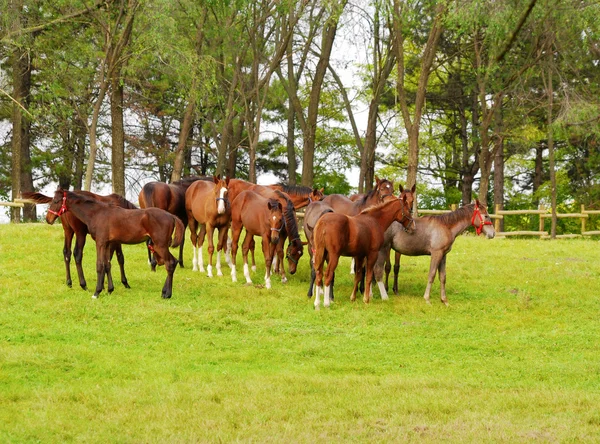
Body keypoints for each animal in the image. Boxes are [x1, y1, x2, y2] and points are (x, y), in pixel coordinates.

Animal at [46, 190, 184, 298]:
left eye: (56, 201)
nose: (48, 219)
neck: (97, 213)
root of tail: (171, 216)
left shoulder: (101, 242)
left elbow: (100, 265)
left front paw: (97, 292)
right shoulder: (108, 243)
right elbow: (107, 264)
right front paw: (109, 290)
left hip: (160, 245)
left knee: (170, 263)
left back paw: (167, 294)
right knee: (173, 262)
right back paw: (164, 292)